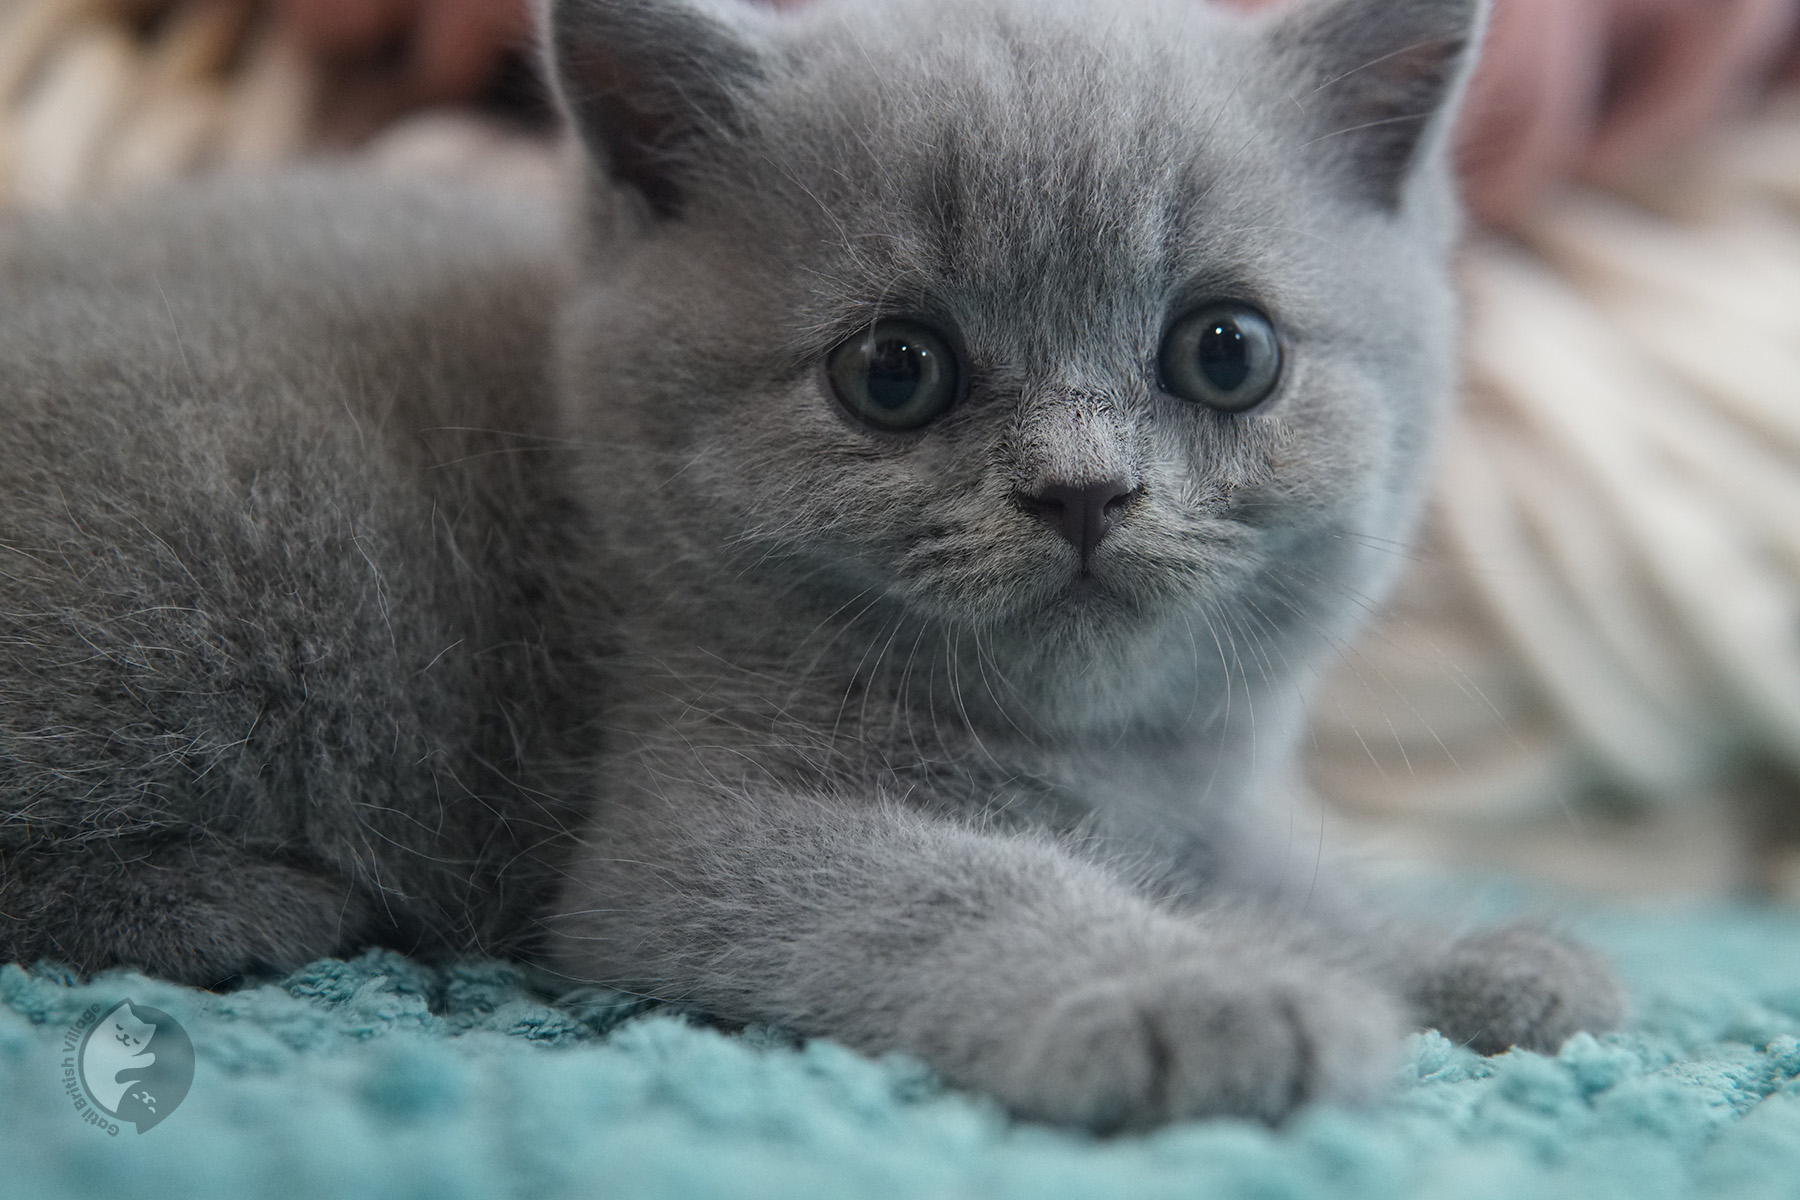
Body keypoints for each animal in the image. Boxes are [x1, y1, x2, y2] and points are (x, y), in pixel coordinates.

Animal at [0, 0, 1627, 1129]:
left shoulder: (1202, 806)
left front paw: (1469, 962)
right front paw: (1207, 995)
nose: (1083, 492)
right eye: (895, 373)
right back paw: (248, 908)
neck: (1101, 762)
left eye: (1225, 353)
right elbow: (955, 885)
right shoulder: (691, 829)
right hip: (255, 536)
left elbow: (1288, 877)